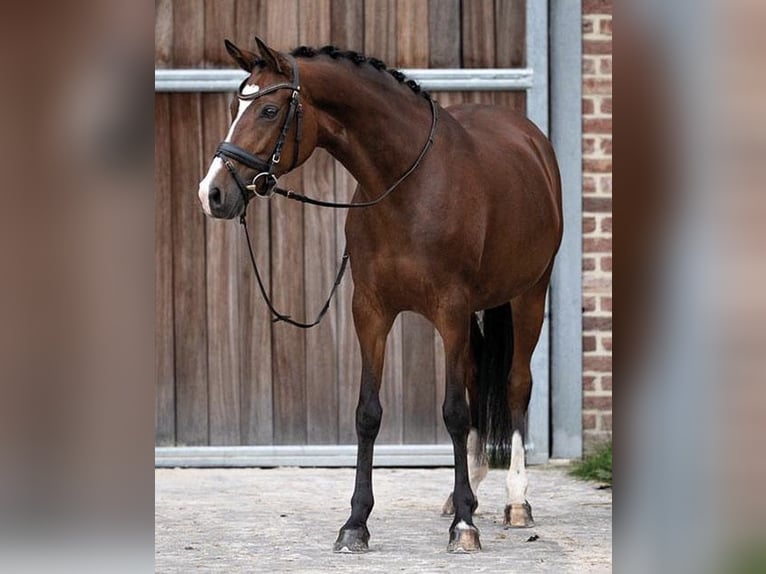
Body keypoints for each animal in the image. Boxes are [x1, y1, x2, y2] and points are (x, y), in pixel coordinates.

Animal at [198, 38, 564, 556]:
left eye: (269, 109)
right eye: (235, 108)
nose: (211, 193)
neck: (405, 186)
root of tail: (531, 140)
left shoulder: (450, 310)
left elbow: (454, 411)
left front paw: (465, 528)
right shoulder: (369, 311)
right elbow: (367, 414)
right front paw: (356, 523)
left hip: (529, 294)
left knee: (515, 384)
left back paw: (515, 502)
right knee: (477, 379)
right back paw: (466, 491)